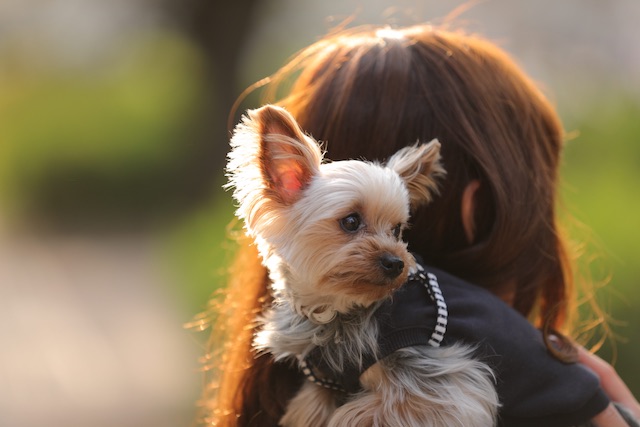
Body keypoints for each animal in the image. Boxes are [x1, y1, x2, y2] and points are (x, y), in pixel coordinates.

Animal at [225, 104, 500, 427]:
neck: (337, 311)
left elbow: (356, 413)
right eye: (351, 221)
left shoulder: (442, 383)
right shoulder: (322, 386)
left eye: (396, 230)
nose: (396, 263)